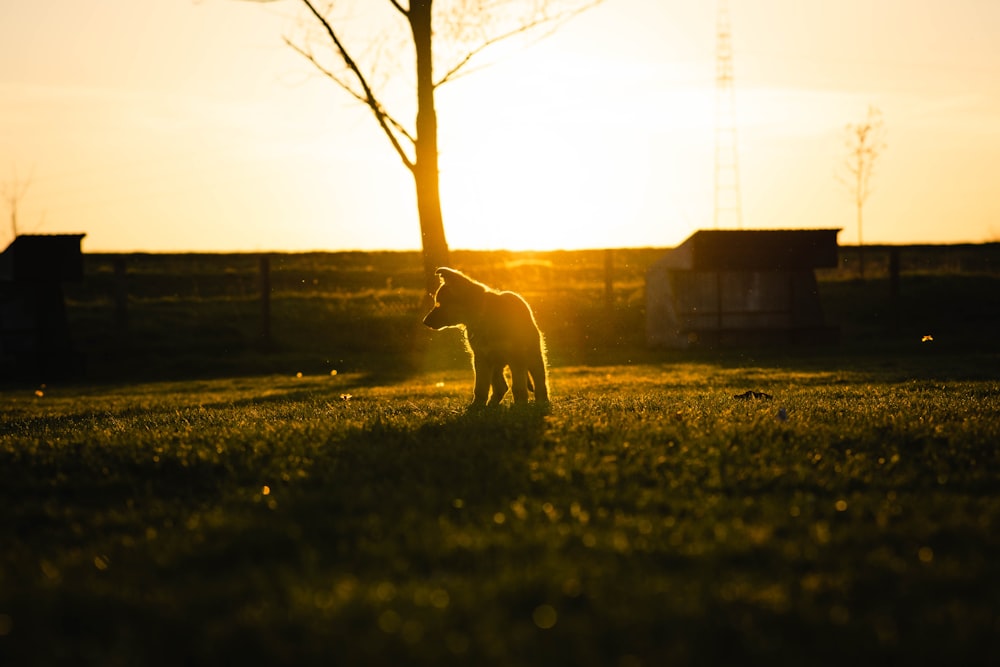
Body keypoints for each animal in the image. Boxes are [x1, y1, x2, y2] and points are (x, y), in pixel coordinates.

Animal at [420, 268, 552, 408]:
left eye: (440, 303)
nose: (424, 322)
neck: (484, 315)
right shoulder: (481, 357)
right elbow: (480, 387)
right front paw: (477, 406)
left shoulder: (516, 357)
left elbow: (518, 386)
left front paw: (520, 406)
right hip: (495, 362)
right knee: (501, 386)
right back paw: (492, 404)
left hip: (533, 355)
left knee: (540, 380)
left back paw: (542, 401)